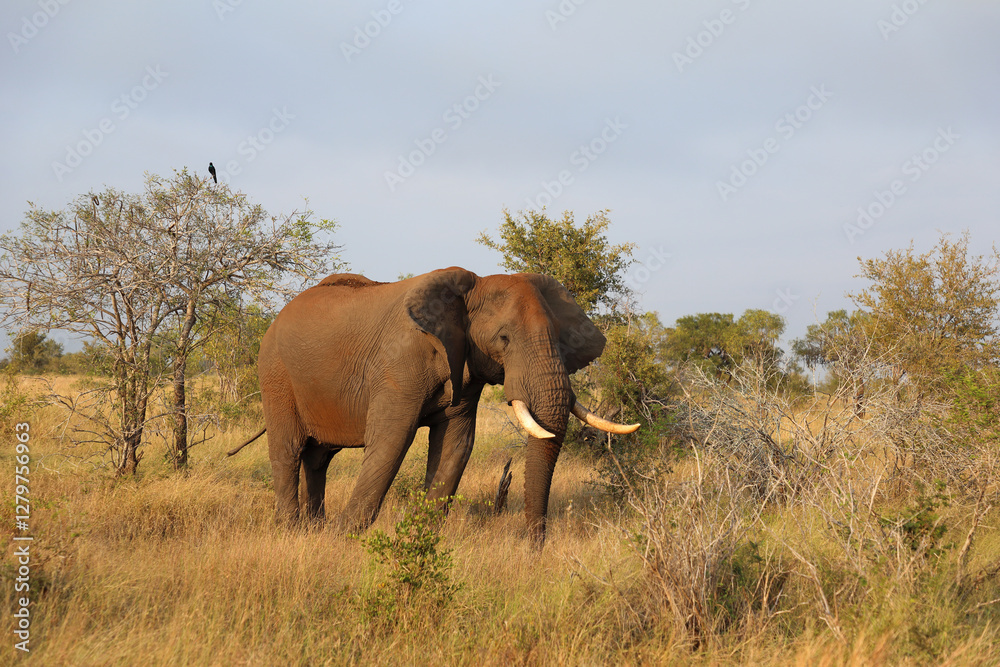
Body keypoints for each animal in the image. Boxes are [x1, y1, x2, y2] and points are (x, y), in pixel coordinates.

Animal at [228, 267, 638, 544]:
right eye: (504, 339)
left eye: (559, 338)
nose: (533, 547)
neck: (471, 289)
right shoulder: (398, 362)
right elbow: (391, 440)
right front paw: (345, 540)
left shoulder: (464, 368)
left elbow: (456, 446)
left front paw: (419, 539)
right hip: (276, 373)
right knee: (288, 450)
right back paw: (293, 531)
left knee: (318, 458)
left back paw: (314, 529)